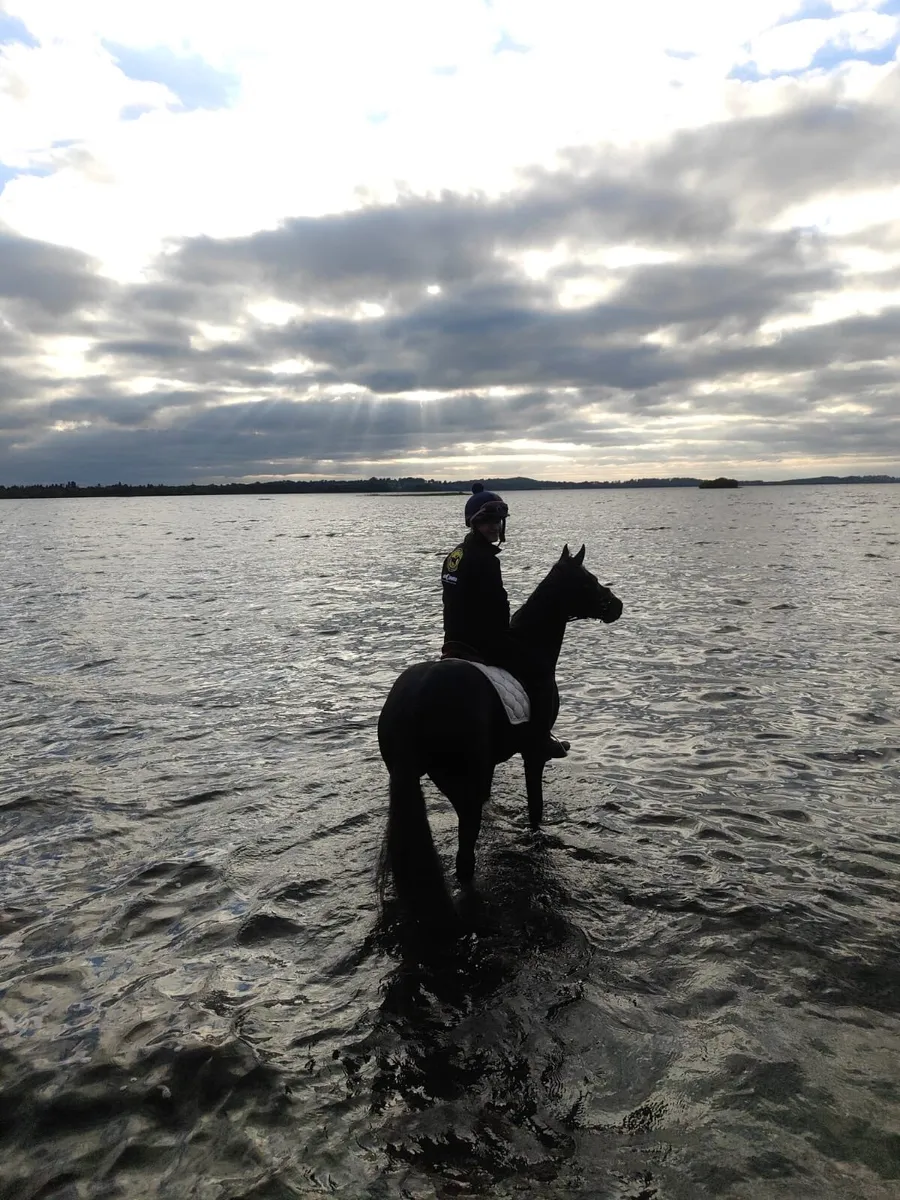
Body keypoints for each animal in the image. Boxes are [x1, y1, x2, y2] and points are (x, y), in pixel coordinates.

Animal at [377, 544, 623, 924]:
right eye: (588, 579)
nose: (616, 605)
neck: (532, 645)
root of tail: (411, 704)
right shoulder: (534, 753)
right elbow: (535, 809)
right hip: (463, 788)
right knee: (464, 861)